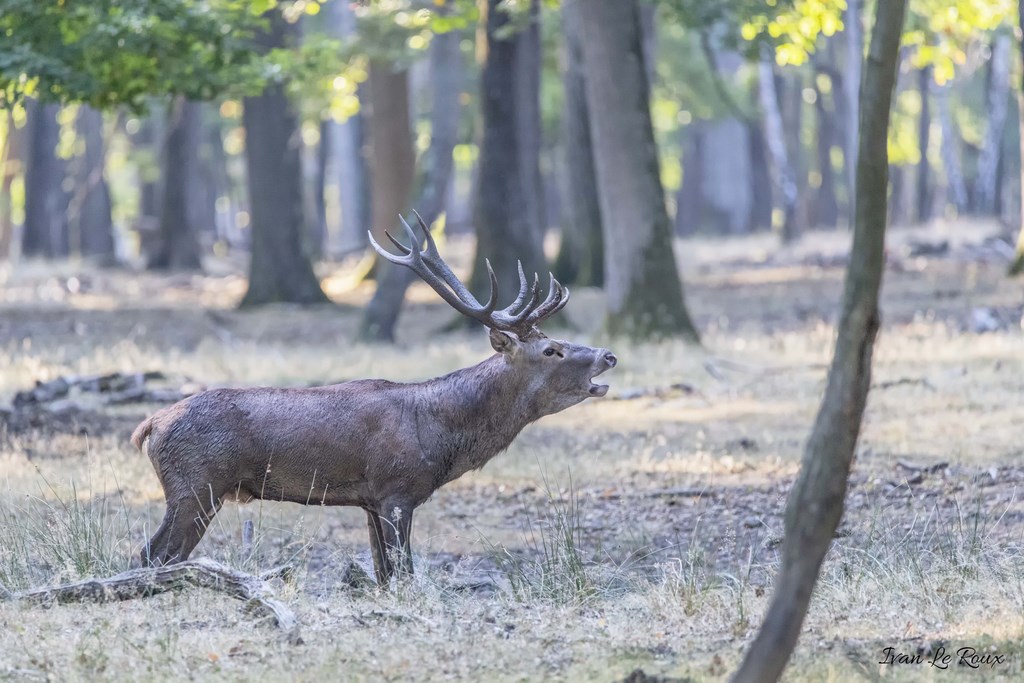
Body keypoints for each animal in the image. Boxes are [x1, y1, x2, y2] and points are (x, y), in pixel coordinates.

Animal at [131, 212, 617, 585]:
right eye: (551, 350)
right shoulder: (396, 490)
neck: (438, 437)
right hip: (195, 485)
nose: (607, 355)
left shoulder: (370, 501)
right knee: (154, 553)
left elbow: (383, 574)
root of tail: (149, 426)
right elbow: (404, 573)